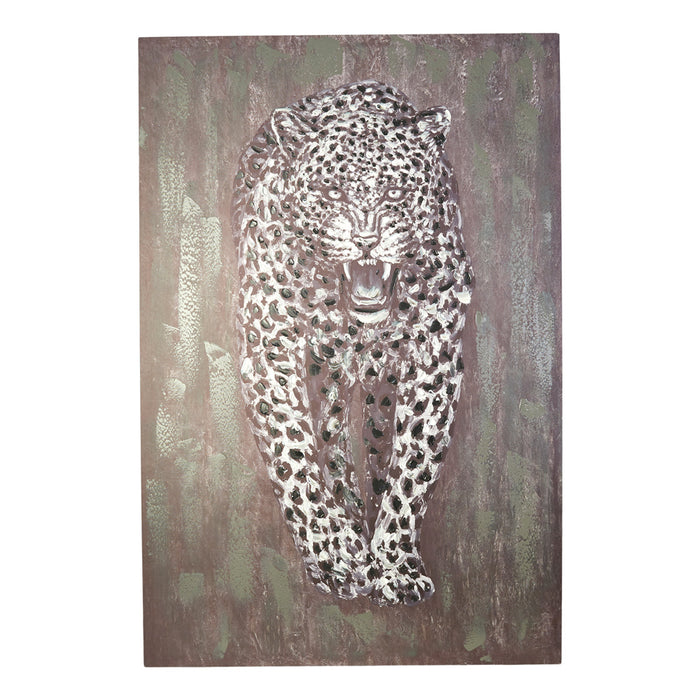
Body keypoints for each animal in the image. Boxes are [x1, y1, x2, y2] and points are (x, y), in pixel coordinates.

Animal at [232, 80, 473, 606]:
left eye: (395, 191)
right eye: (332, 191)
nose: (366, 240)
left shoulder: (434, 358)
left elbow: (412, 466)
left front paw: (396, 566)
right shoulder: (270, 351)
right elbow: (294, 455)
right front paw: (334, 553)